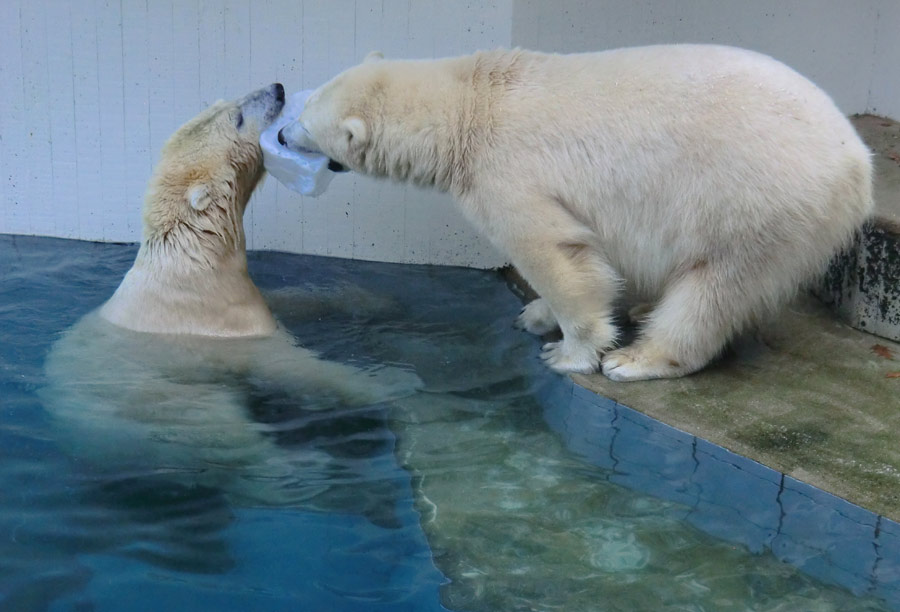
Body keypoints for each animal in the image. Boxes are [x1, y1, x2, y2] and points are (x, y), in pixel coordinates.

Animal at [42, 83, 422, 504]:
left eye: (225, 102)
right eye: (237, 118)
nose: (277, 88)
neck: (192, 256)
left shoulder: (233, 293)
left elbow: (290, 301)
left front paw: (371, 300)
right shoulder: (218, 321)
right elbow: (289, 364)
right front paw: (393, 381)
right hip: (152, 405)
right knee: (222, 431)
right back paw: (317, 472)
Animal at [280, 45, 872, 382]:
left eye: (306, 121)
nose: (282, 134)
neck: (471, 103)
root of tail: (858, 163)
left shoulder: (507, 171)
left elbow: (554, 251)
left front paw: (570, 350)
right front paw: (535, 314)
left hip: (756, 200)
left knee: (717, 286)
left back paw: (639, 359)